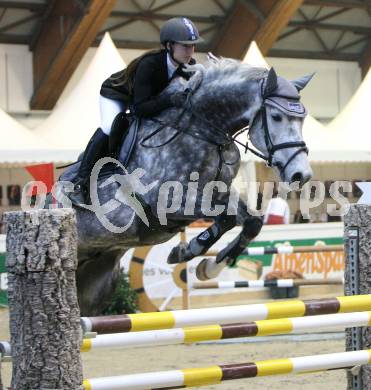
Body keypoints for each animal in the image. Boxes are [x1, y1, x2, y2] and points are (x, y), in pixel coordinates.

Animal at [53, 59, 314, 316]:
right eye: (277, 117)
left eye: (302, 120)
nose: (301, 174)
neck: (205, 132)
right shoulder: (166, 202)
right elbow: (228, 218)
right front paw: (189, 251)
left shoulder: (218, 194)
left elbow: (251, 221)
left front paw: (209, 267)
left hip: (96, 281)